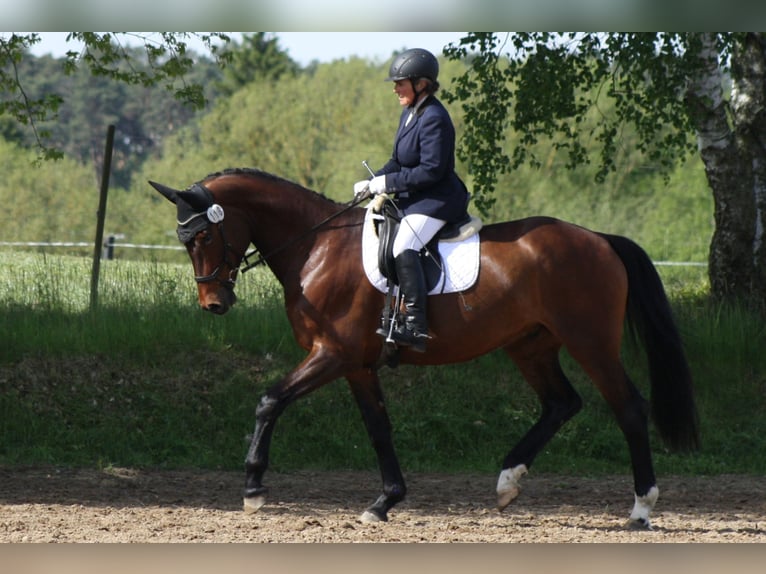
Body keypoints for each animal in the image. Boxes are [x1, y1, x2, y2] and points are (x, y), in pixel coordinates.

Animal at [149, 167, 699, 529]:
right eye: (186, 241)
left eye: (203, 236)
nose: (214, 304)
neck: (315, 249)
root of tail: (599, 239)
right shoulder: (357, 365)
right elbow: (378, 429)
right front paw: (385, 502)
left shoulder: (331, 354)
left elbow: (269, 401)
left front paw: (254, 489)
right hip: (530, 345)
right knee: (562, 403)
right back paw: (507, 483)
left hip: (591, 341)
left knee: (628, 407)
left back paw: (641, 508)